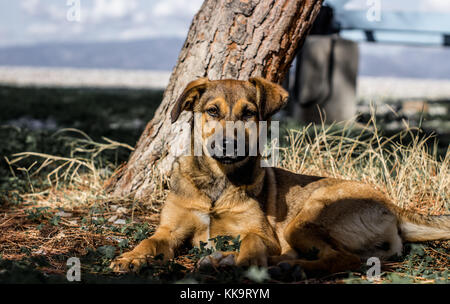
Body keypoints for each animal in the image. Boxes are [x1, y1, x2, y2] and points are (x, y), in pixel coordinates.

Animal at [110, 77, 450, 274]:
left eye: (249, 113)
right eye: (212, 111)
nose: (228, 144)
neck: (218, 183)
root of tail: (393, 207)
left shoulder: (264, 234)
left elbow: (251, 239)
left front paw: (245, 260)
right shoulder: (170, 230)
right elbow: (149, 242)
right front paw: (130, 258)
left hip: (307, 217)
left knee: (340, 259)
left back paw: (273, 267)